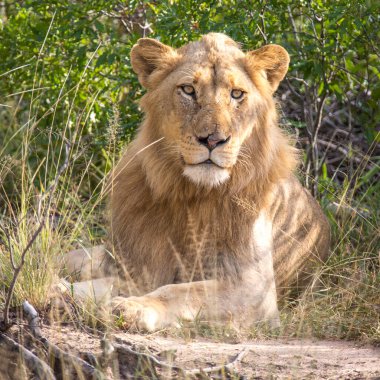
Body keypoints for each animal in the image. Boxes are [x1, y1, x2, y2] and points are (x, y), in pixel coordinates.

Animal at [63, 32, 332, 332]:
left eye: (237, 94)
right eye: (188, 90)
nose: (213, 140)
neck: (190, 194)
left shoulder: (255, 289)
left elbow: (182, 291)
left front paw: (132, 308)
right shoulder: (136, 263)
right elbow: (105, 282)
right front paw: (62, 292)